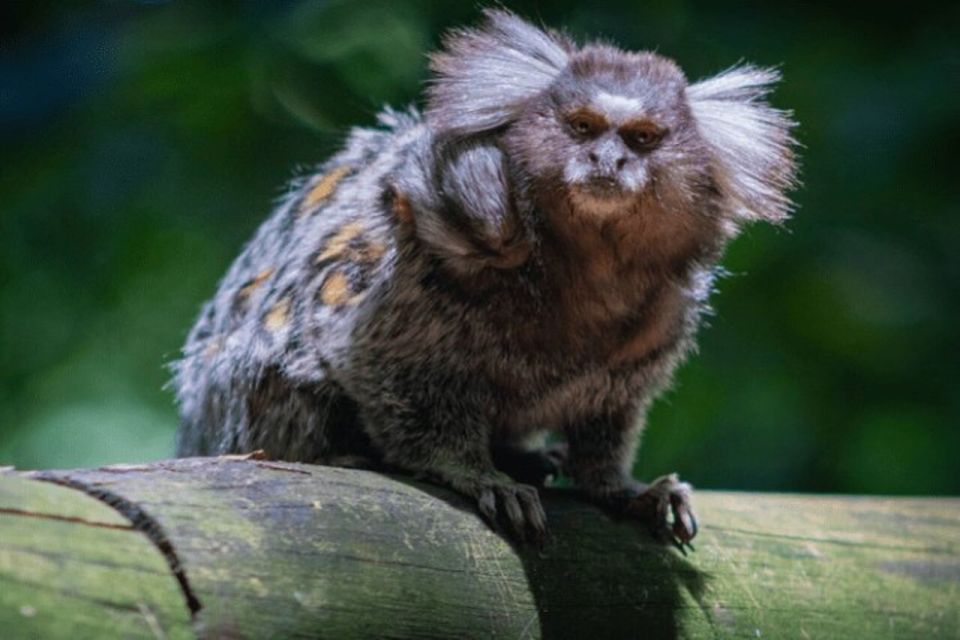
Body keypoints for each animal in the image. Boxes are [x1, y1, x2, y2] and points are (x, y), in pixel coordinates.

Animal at [172, 10, 796, 548]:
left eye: (641, 138)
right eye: (582, 127)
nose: (607, 161)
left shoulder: (663, 314)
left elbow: (609, 413)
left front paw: (619, 487)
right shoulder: (414, 276)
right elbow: (371, 362)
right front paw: (471, 471)